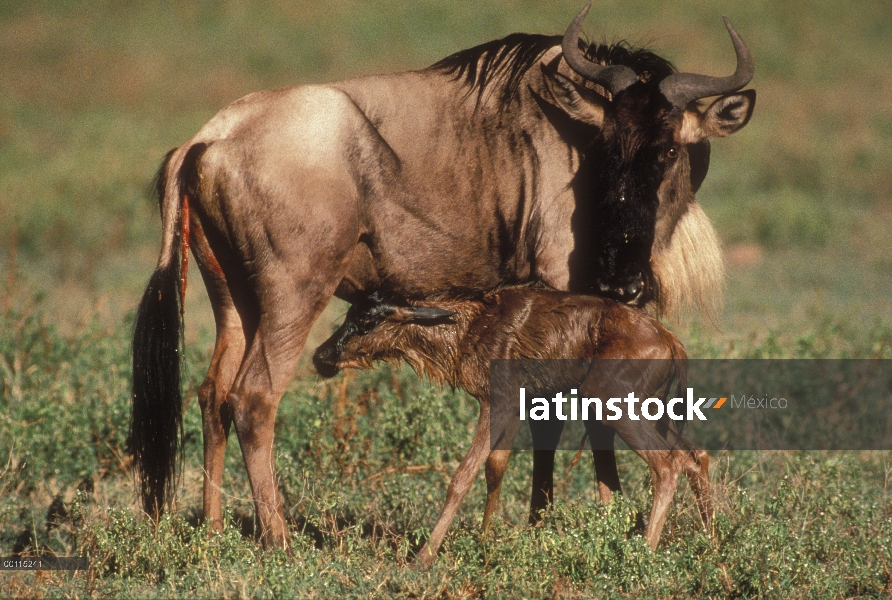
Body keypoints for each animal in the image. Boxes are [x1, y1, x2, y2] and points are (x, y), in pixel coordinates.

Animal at [314, 286, 712, 568]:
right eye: (350, 313)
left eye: (369, 322)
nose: (321, 356)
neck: (467, 327)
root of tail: (671, 342)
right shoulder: (516, 404)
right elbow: (496, 468)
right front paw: (485, 543)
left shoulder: (498, 401)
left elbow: (461, 477)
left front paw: (422, 559)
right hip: (651, 409)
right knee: (696, 454)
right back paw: (710, 543)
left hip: (609, 402)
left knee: (668, 464)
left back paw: (642, 552)